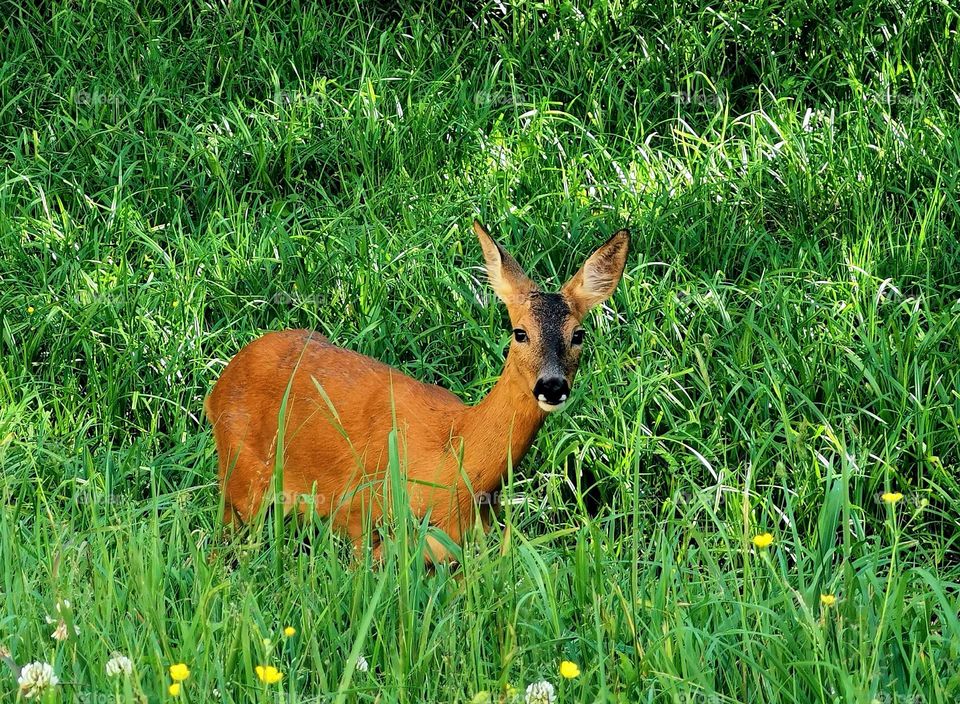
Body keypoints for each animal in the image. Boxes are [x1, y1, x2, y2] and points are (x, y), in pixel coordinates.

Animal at [202, 223, 632, 564]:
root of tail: (219, 385)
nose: (552, 386)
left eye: (578, 334)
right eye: (519, 332)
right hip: (240, 482)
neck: (457, 460)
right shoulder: (364, 521)